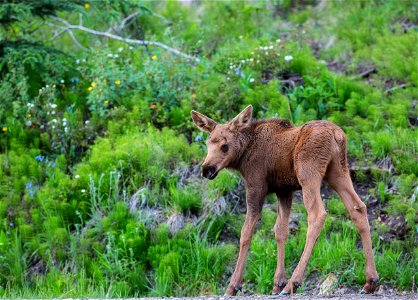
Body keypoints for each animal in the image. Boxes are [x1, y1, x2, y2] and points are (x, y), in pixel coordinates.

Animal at [192, 105, 378, 296]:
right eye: (207, 144)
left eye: (225, 146)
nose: (206, 169)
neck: (243, 156)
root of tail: (337, 135)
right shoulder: (284, 190)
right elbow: (280, 231)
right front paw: (278, 282)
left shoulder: (256, 187)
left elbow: (246, 233)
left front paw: (233, 286)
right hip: (338, 172)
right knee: (358, 208)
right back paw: (370, 281)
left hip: (309, 174)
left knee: (317, 214)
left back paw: (293, 282)